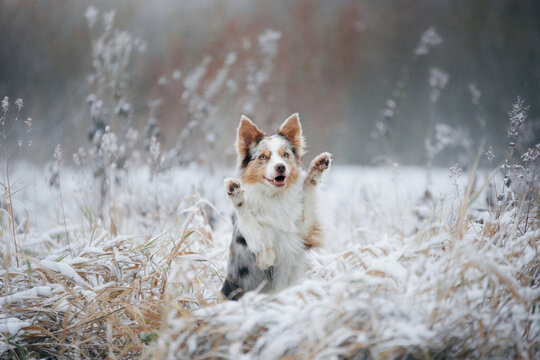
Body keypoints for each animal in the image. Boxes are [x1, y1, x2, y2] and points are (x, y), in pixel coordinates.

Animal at [220, 114, 332, 300]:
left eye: (285, 155)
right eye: (263, 157)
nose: (281, 167)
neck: (274, 198)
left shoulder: (305, 233)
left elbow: (308, 190)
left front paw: (316, 168)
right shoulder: (263, 254)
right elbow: (250, 221)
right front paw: (235, 194)